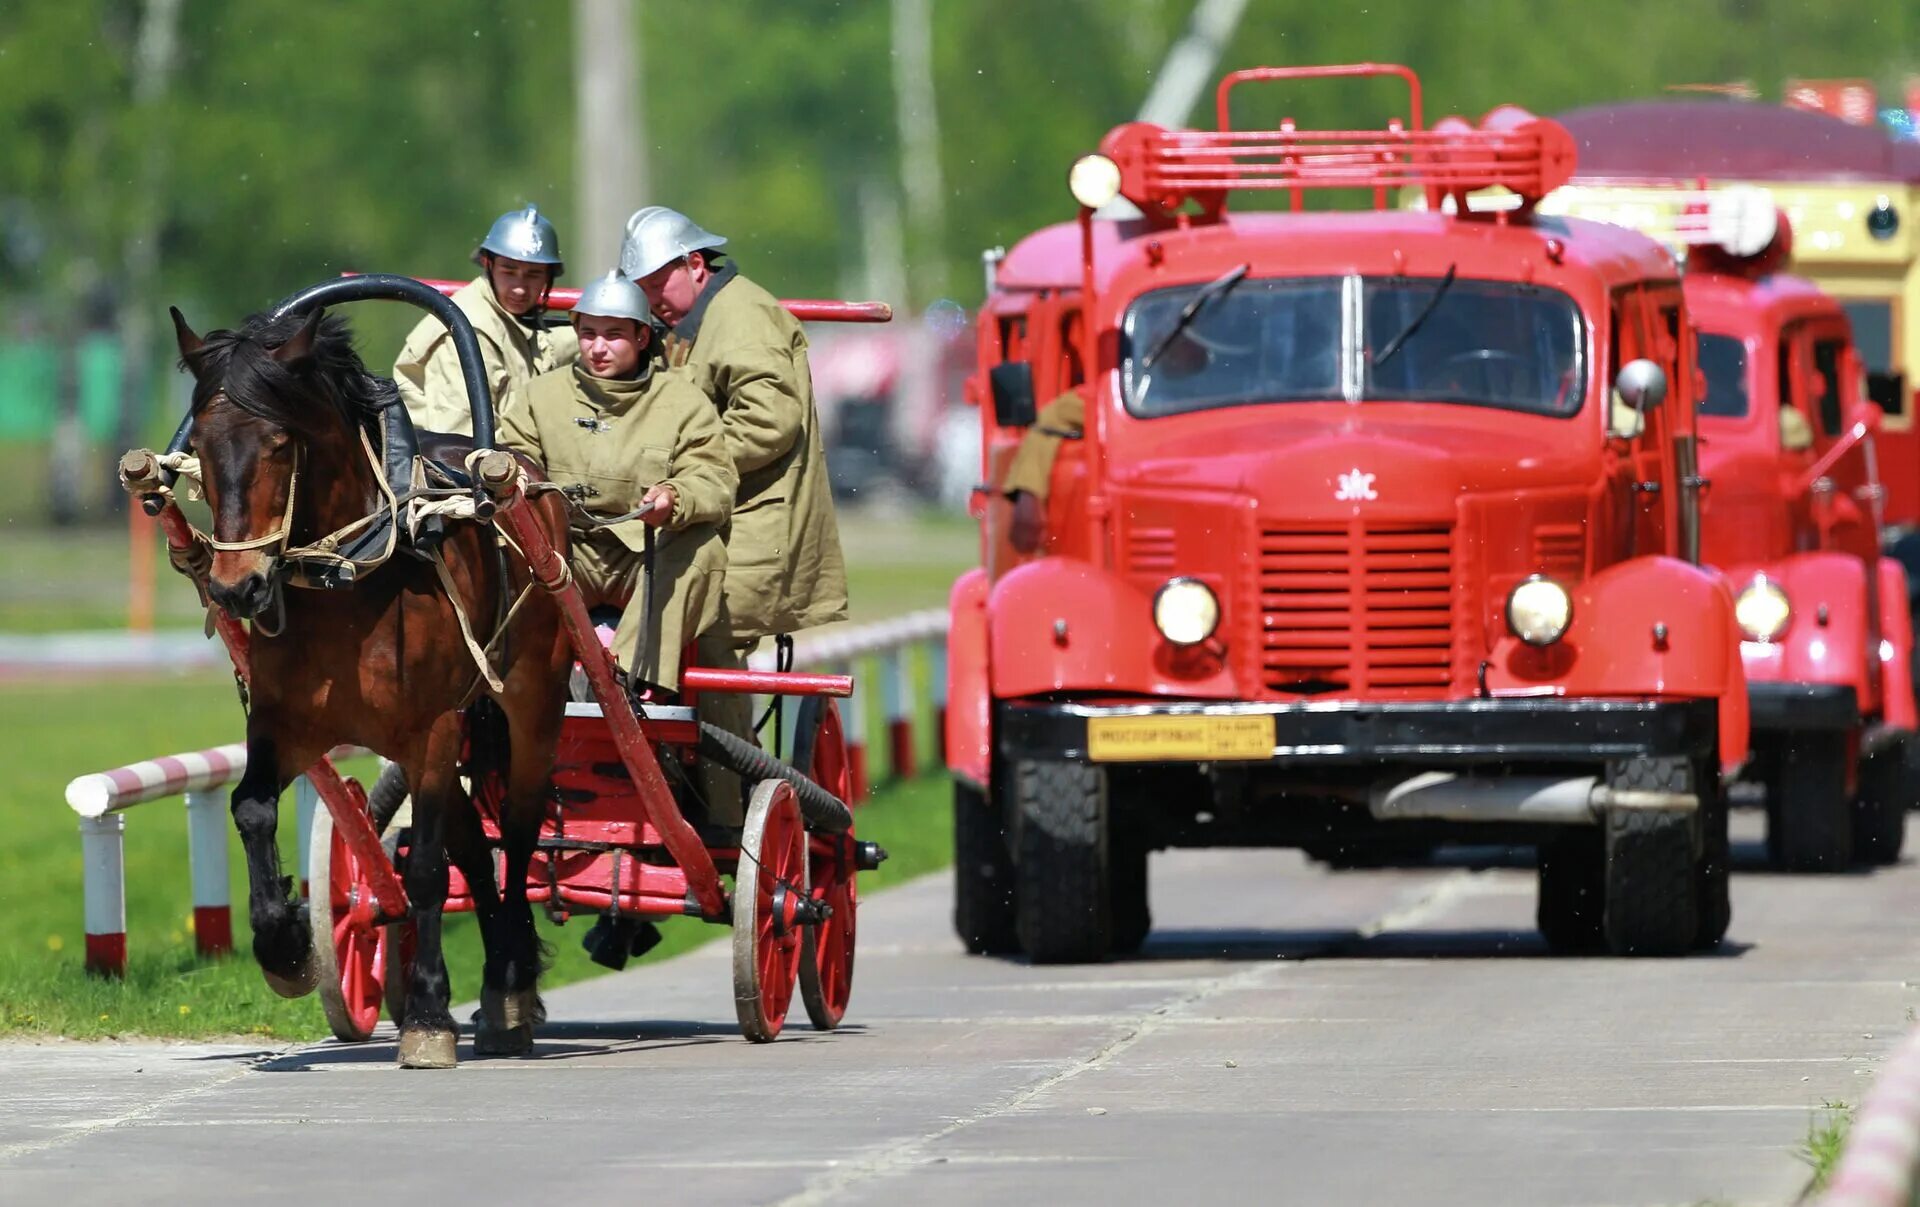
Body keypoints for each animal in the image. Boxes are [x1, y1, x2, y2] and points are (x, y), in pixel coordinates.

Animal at [168, 303, 572, 1066]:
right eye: (199, 444)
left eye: (278, 443)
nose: (238, 589)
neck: (350, 572)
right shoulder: (286, 724)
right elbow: (251, 808)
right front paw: (286, 943)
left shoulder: (434, 727)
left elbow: (426, 871)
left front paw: (428, 1013)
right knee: (475, 846)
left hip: (531, 705)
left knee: (517, 835)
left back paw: (508, 983)